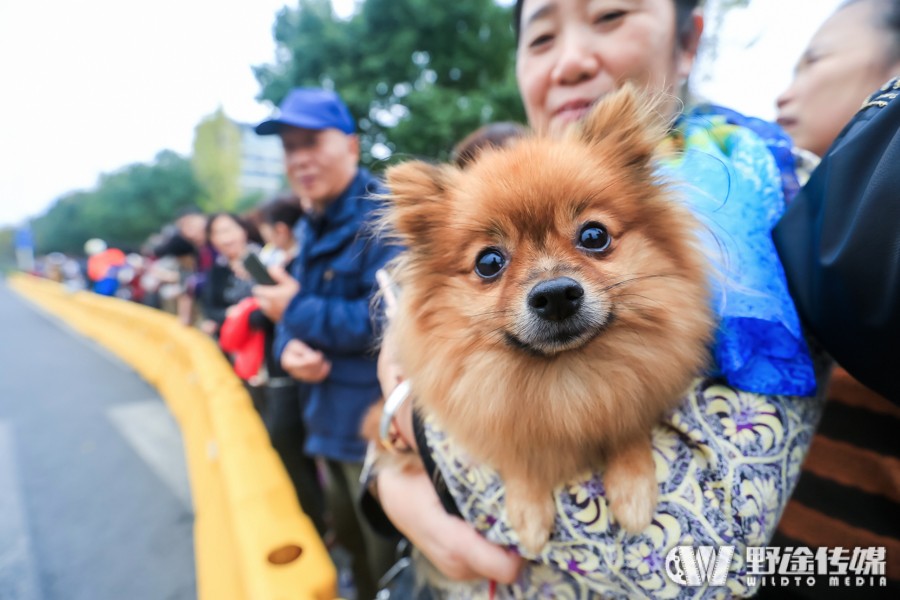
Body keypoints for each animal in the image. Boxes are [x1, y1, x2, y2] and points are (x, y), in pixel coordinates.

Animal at [382, 84, 716, 552]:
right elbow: (515, 450)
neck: (565, 378)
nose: (555, 294)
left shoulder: (637, 383)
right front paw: (527, 509)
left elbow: (628, 419)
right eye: (489, 262)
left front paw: (632, 487)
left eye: (594, 235)